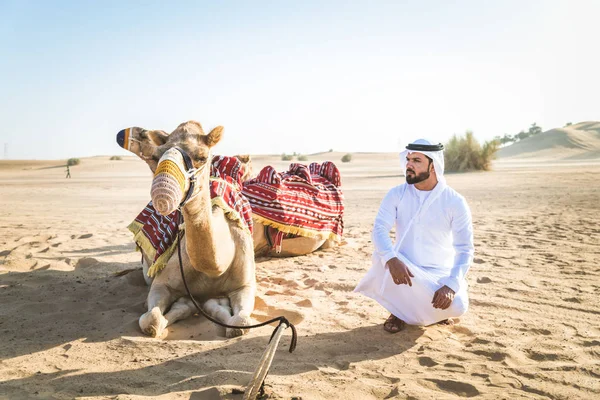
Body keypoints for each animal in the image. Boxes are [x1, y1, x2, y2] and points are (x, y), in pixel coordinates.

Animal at [117, 122, 255, 338]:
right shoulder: (161, 283)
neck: (215, 267)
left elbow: (240, 324)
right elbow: (152, 320)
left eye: (202, 157)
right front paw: (187, 304)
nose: (162, 194)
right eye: (157, 156)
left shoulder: (245, 285)